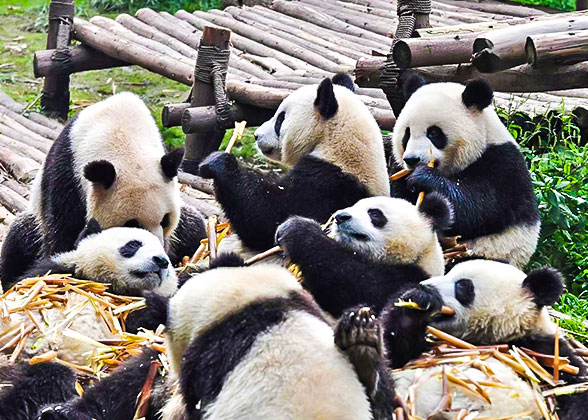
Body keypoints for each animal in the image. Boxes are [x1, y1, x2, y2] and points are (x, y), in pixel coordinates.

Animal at [0, 92, 205, 291]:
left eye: (165, 220)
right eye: (132, 223)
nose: (162, 253)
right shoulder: (68, 173)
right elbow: (61, 231)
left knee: (194, 225)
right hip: (35, 217)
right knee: (20, 238)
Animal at [381, 259, 588, 419]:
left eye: (462, 285)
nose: (426, 285)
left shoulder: (547, 353)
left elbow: (575, 389)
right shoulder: (428, 346)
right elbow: (393, 352)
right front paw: (417, 299)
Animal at [391, 75, 540, 268]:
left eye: (433, 133)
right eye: (407, 134)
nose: (411, 160)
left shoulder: (503, 167)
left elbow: (477, 208)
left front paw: (424, 179)